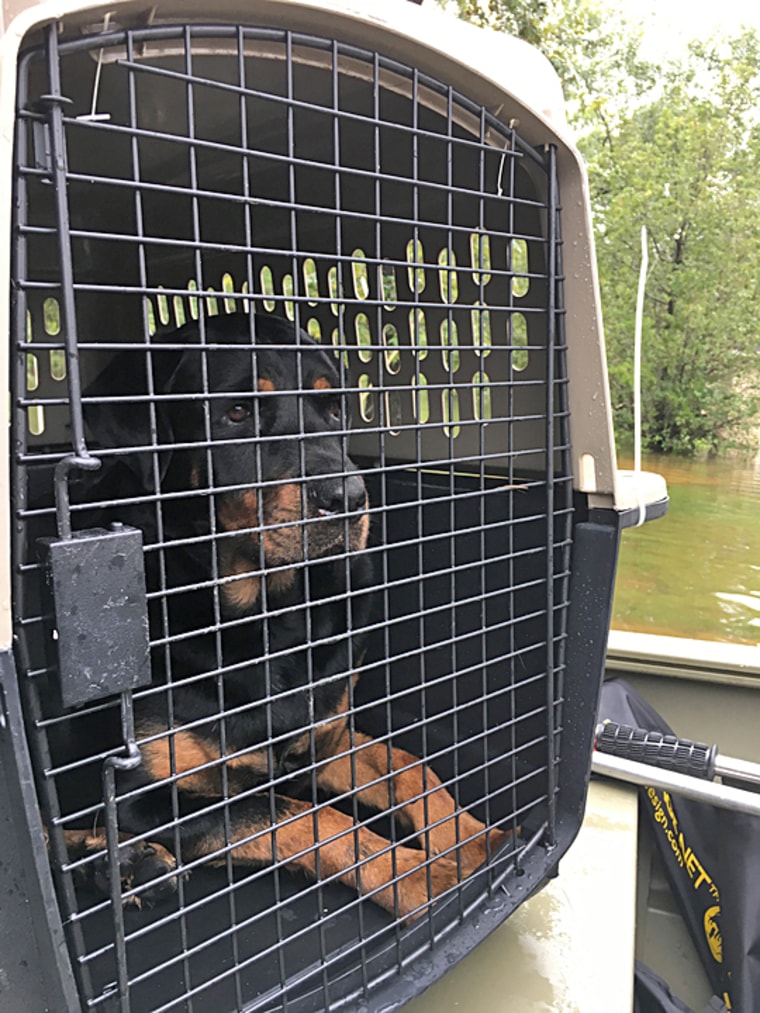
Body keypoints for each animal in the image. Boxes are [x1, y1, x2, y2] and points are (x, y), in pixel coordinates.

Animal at [59, 312, 506, 923]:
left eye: (334, 408)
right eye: (237, 413)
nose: (348, 497)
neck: (271, 614)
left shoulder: (324, 738)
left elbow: (407, 763)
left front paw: (469, 839)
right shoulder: (143, 799)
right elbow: (304, 816)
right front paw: (421, 874)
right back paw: (119, 863)